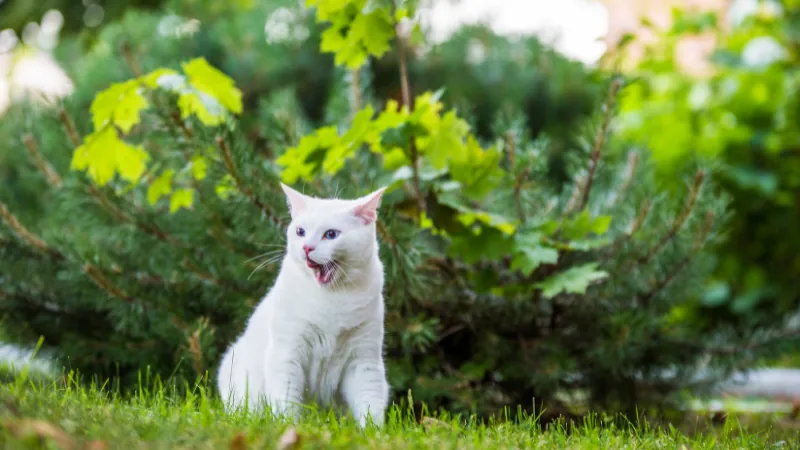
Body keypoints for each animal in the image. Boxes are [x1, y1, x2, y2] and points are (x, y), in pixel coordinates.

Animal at [217, 184, 392, 428]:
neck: (334, 296)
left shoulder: (363, 360)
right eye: (300, 231)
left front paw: (373, 432)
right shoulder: (287, 353)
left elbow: (369, 403)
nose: (307, 247)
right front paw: (289, 427)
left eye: (331, 234)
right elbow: (287, 401)